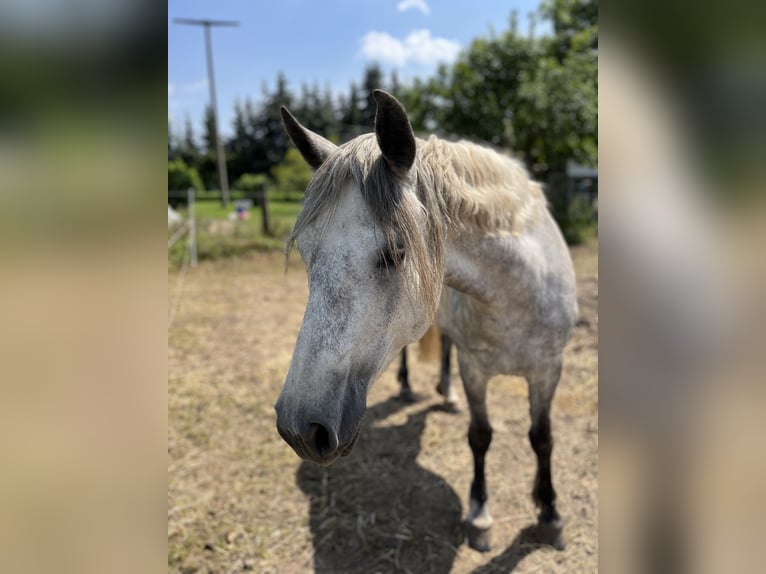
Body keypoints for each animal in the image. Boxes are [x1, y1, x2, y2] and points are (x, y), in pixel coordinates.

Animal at [272, 90, 580, 552]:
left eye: (396, 252)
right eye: (307, 253)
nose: (299, 429)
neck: (518, 291)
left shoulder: (548, 369)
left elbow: (542, 438)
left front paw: (550, 514)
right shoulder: (475, 369)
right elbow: (480, 435)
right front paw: (480, 514)